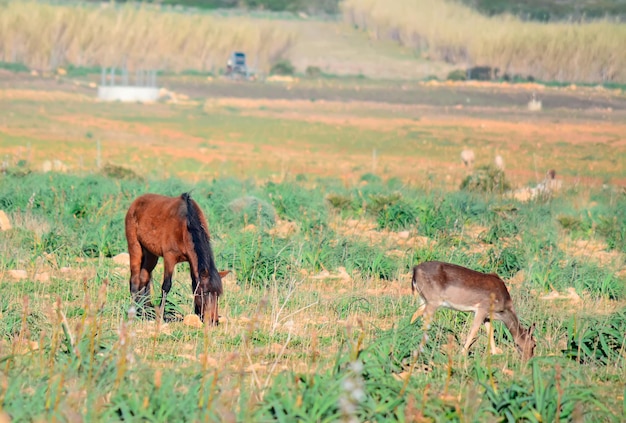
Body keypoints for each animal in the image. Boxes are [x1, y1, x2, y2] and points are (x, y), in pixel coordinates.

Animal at [123, 192, 227, 324]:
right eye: (205, 292)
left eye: (218, 295)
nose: (214, 321)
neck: (185, 225)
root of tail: (136, 202)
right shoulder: (169, 257)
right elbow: (166, 286)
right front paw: (161, 315)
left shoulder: (192, 262)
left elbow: (194, 285)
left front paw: (197, 314)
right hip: (135, 247)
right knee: (135, 280)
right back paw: (135, 310)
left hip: (151, 254)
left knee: (144, 278)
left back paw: (144, 310)